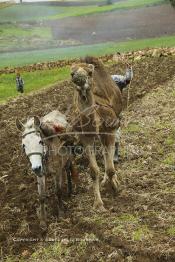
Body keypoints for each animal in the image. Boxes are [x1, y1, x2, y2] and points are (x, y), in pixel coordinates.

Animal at [70, 55, 122, 211]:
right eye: (72, 74)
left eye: (89, 73)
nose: (79, 79)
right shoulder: (86, 137)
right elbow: (93, 170)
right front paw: (98, 203)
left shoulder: (110, 129)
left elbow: (110, 166)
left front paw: (114, 186)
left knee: (110, 152)